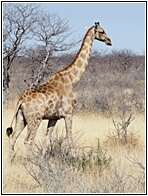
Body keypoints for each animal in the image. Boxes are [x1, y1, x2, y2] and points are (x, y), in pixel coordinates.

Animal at [6, 21, 111, 159]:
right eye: (102, 31)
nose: (109, 41)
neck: (72, 81)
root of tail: (21, 101)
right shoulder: (68, 113)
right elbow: (69, 138)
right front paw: (73, 159)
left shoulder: (54, 117)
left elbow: (47, 140)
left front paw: (43, 160)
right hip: (35, 119)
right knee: (28, 141)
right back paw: (31, 161)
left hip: (21, 118)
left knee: (13, 137)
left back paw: (10, 160)